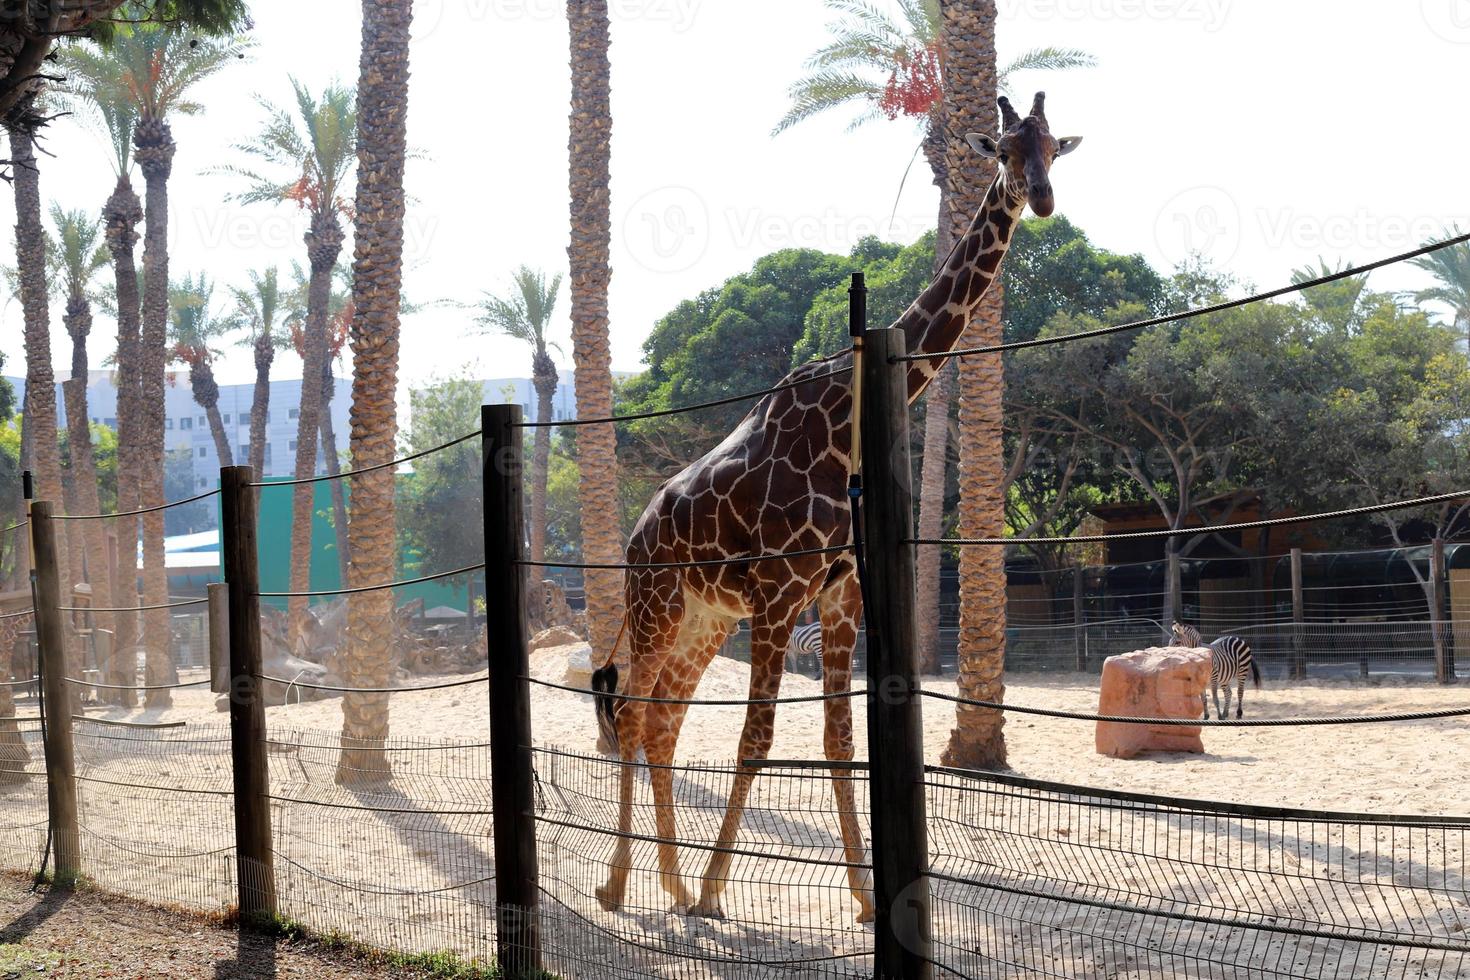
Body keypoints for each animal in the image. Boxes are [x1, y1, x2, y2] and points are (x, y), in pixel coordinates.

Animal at [585, 89, 1081, 922]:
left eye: (1053, 148)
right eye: (1006, 149)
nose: (1040, 198)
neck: (847, 417)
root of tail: (635, 535)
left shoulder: (840, 590)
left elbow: (840, 744)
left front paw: (864, 896)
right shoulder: (782, 591)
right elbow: (757, 738)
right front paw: (718, 891)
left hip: (705, 617)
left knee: (662, 722)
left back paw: (670, 884)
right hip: (659, 605)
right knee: (629, 713)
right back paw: (622, 884)